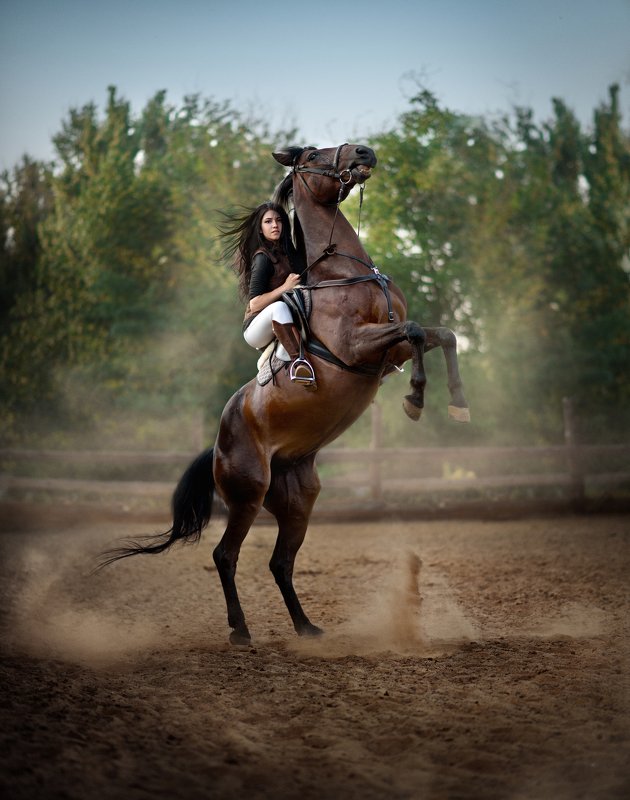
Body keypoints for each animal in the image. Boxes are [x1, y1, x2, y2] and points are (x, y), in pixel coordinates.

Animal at [100, 143, 469, 646]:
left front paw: (457, 402)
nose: (364, 151)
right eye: (313, 155)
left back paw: (306, 626)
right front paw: (415, 398)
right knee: (225, 555)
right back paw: (240, 630)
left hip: (299, 499)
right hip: (248, 494)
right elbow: (413, 331)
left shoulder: (387, 349)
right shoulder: (358, 346)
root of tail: (218, 442)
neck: (345, 272)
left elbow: (440, 334)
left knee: (280, 562)